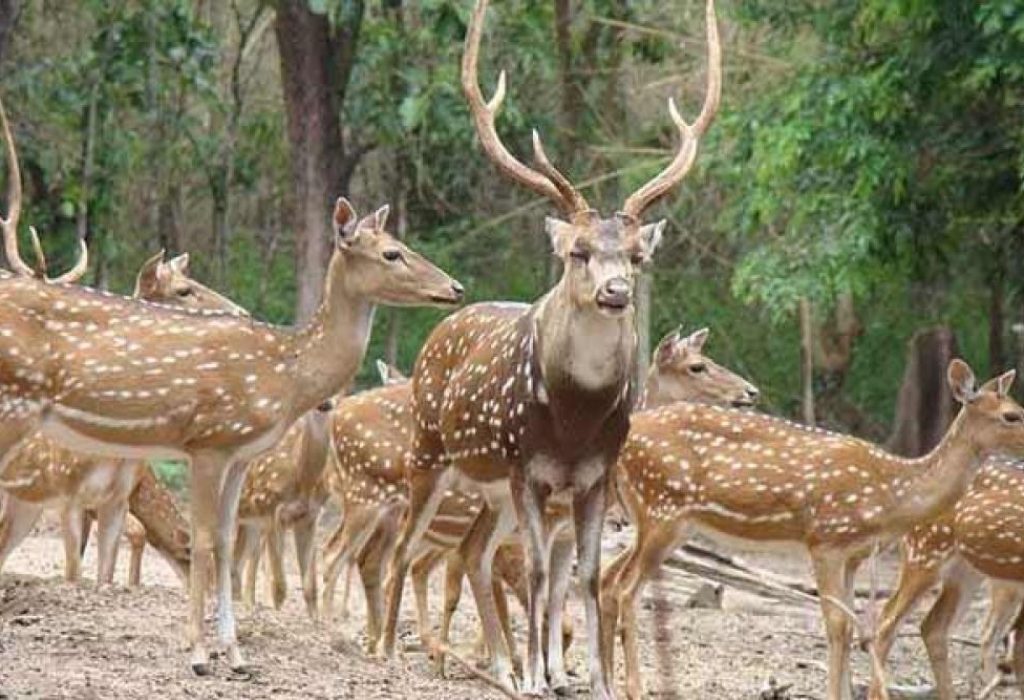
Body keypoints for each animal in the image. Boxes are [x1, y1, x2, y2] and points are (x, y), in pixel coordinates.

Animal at [378, 1, 720, 694]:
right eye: (578, 252)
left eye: (637, 255)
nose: (616, 291)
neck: (572, 419)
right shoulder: (525, 466)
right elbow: (537, 571)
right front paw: (539, 676)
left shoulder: (593, 478)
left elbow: (583, 578)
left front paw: (594, 681)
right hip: (431, 450)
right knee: (405, 544)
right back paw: (388, 651)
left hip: (488, 492)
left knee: (472, 552)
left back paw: (497, 666)